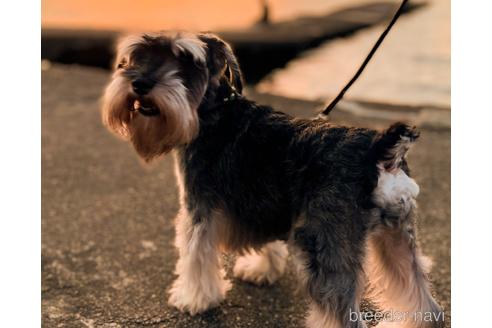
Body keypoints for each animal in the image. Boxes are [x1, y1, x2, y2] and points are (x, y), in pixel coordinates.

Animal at [102, 31, 444, 328]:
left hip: (325, 246)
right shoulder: (262, 202)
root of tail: (380, 150)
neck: (214, 111)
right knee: (425, 302)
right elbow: (266, 240)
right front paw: (261, 269)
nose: (140, 83)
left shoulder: (199, 207)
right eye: (135, 57)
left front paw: (193, 298)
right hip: (398, 238)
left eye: (183, 58)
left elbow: (195, 253)